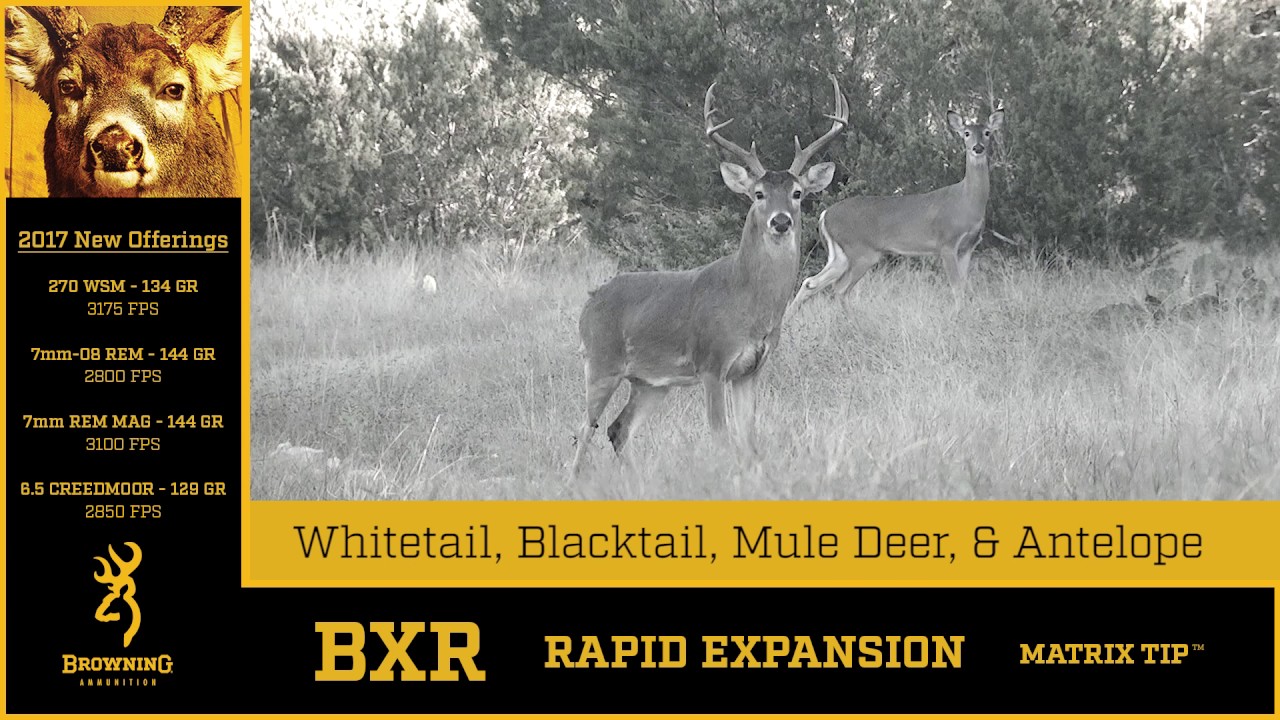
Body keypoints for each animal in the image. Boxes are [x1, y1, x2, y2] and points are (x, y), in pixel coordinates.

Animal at [570, 76, 848, 478]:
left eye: (798, 193)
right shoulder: (712, 363)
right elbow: (721, 435)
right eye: (758, 193)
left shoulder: (750, 370)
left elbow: (750, 438)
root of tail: (590, 301)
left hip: (650, 382)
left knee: (617, 428)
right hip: (600, 361)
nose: (781, 221)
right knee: (584, 430)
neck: (748, 302)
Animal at [787, 108, 1005, 313]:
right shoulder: (947, 244)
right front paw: (957, 317)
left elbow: (965, 287)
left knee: (812, 282)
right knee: (840, 288)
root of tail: (825, 215)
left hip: (840, 255)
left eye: (987, 132)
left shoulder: (968, 247)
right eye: (966, 133)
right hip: (861, 252)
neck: (966, 202)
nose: (978, 148)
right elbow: (957, 288)